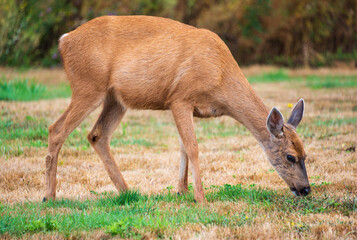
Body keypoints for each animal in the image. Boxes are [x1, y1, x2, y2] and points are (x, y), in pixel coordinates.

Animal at [43, 15, 308, 203]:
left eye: (306, 155)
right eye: (290, 156)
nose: (305, 189)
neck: (220, 77)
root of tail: (64, 40)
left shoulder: (186, 106)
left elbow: (182, 148)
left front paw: (182, 191)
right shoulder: (180, 98)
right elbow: (192, 147)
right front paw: (201, 198)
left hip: (115, 98)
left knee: (97, 135)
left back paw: (128, 191)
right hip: (88, 85)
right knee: (56, 129)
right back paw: (49, 196)